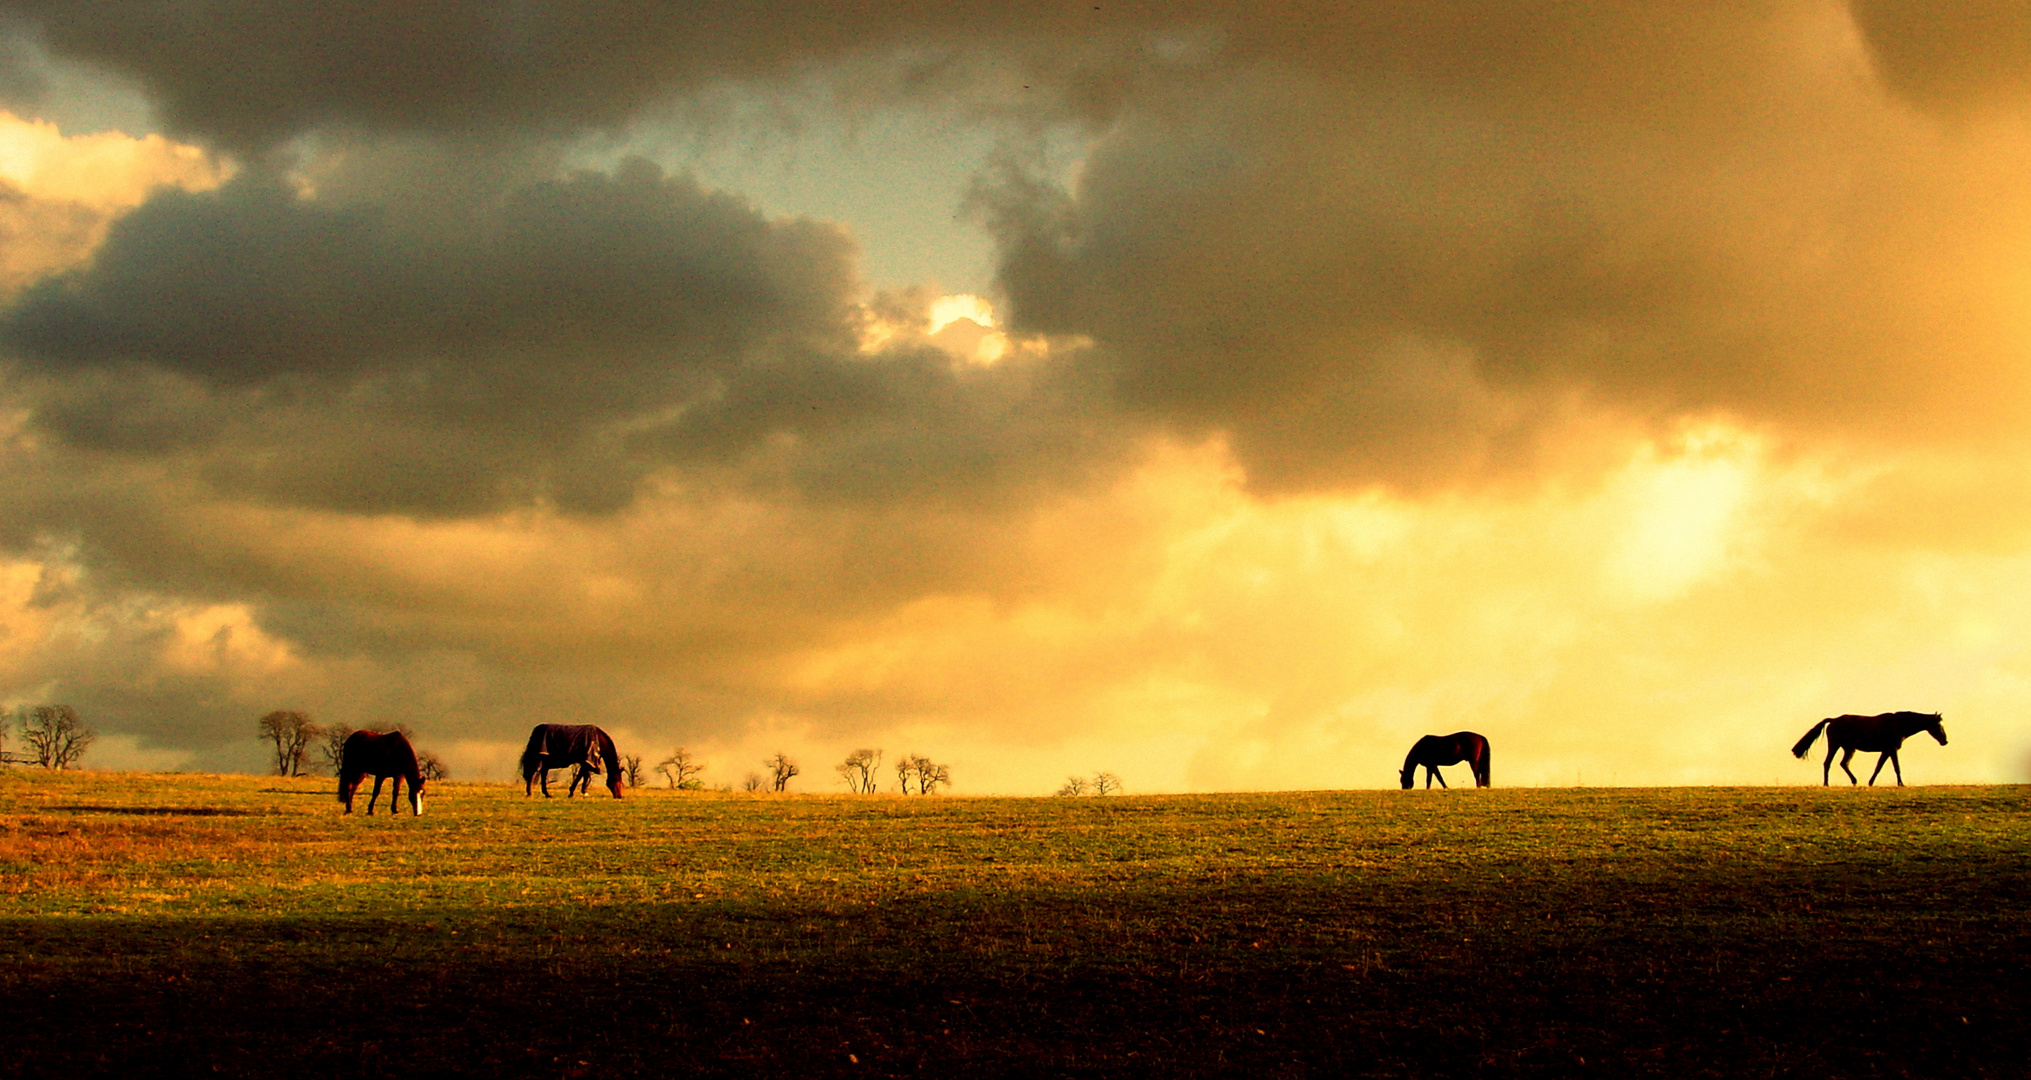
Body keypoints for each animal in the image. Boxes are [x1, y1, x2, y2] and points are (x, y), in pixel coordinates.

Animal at [1803, 710, 1941, 783]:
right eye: (1939, 725)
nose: (1944, 741)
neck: (1899, 725)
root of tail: (1833, 720)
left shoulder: (1886, 751)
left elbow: (1878, 767)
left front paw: (1870, 782)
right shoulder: (1892, 749)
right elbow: (1896, 767)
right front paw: (1901, 784)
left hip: (1849, 748)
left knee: (1844, 763)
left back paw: (1854, 781)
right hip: (1834, 746)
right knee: (1827, 763)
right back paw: (1826, 784)